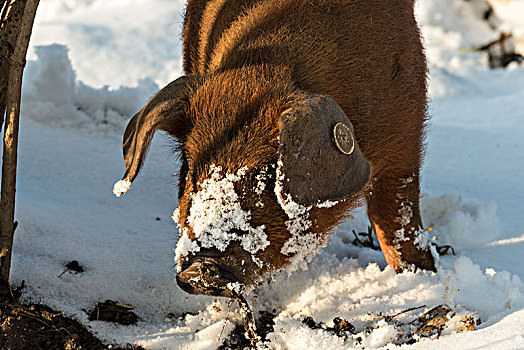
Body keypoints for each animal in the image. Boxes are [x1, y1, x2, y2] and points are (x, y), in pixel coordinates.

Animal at [113, 0, 434, 298]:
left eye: (267, 174)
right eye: (191, 170)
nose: (199, 269)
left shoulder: (405, 141)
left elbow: (398, 223)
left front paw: (421, 276)